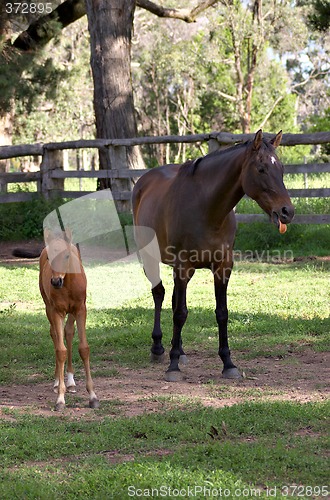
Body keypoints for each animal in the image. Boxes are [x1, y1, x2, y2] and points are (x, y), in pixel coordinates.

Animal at [38, 229, 98, 410]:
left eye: (66, 256)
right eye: (50, 258)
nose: (55, 281)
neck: (68, 284)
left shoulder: (81, 310)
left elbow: (84, 348)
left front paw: (93, 396)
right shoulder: (56, 311)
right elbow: (60, 350)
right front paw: (60, 398)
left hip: (71, 313)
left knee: (69, 332)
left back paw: (70, 381)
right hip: (48, 307)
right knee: (55, 335)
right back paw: (58, 381)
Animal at [133, 131, 296, 380]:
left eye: (282, 169)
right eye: (261, 169)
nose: (287, 211)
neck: (207, 208)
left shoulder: (222, 267)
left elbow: (221, 313)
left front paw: (228, 363)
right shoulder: (182, 265)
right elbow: (180, 313)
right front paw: (173, 367)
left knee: (173, 299)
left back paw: (180, 350)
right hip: (151, 259)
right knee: (159, 295)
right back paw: (159, 348)